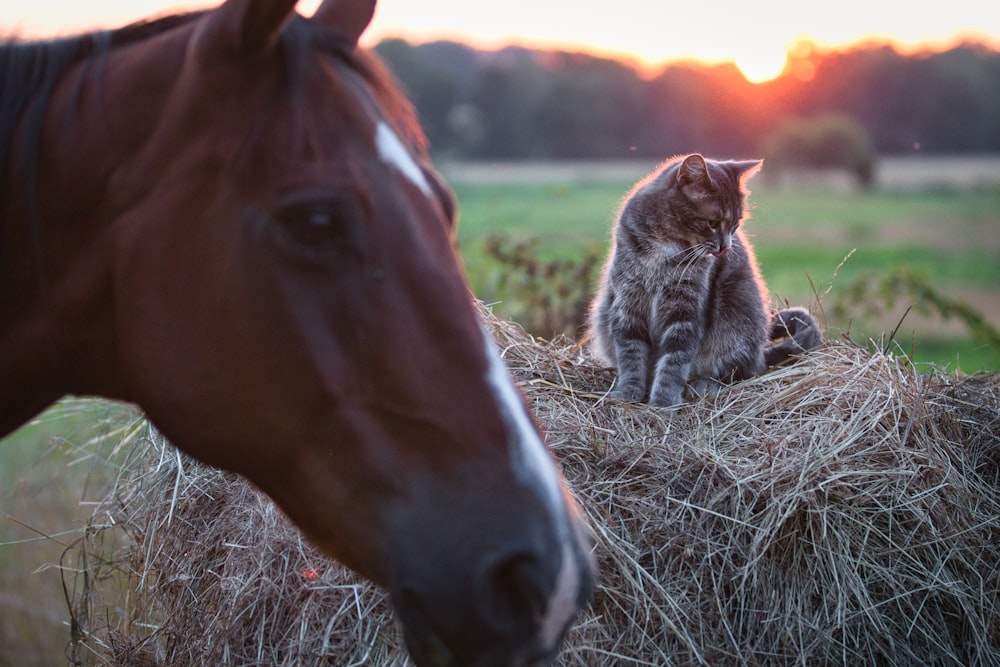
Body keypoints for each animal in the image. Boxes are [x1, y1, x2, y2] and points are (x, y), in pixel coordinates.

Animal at [584, 153, 820, 408]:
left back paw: (705, 385)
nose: (726, 248)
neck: (664, 245)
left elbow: (674, 361)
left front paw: (663, 403)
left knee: (738, 370)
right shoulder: (628, 300)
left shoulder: (686, 310)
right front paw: (628, 392)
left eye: (736, 224)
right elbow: (630, 352)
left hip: (738, 319)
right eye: (713, 223)